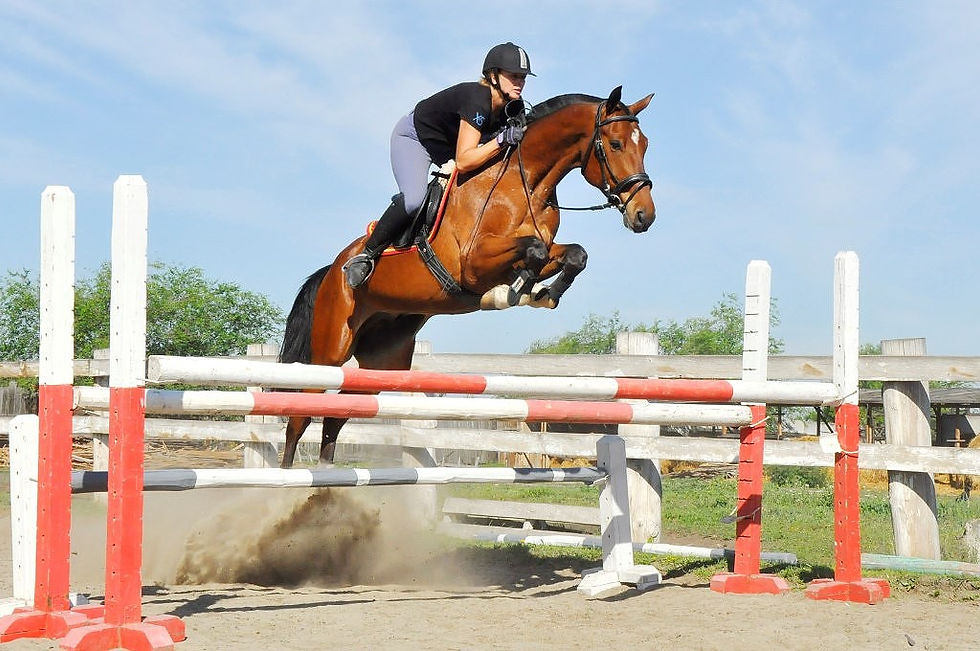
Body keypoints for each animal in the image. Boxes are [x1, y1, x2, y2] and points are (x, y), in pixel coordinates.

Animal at [280, 85, 656, 468]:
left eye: (644, 144)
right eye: (615, 144)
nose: (644, 215)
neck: (524, 183)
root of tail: (331, 271)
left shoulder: (541, 251)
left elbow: (574, 254)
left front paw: (541, 293)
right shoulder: (473, 265)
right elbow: (533, 249)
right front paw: (511, 292)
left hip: (383, 360)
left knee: (337, 414)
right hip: (331, 349)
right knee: (300, 416)